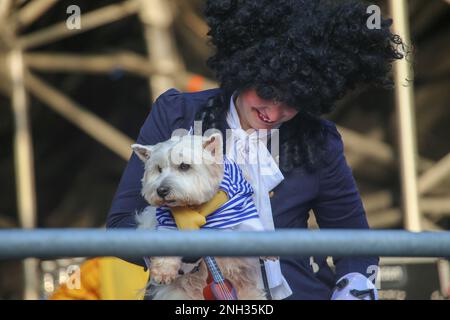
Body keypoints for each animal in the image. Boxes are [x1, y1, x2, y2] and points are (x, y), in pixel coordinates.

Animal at [132, 133, 268, 300]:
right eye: (158, 169)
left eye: (184, 166)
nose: (161, 190)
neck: (196, 208)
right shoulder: (164, 221)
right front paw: (164, 270)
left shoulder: (240, 209)